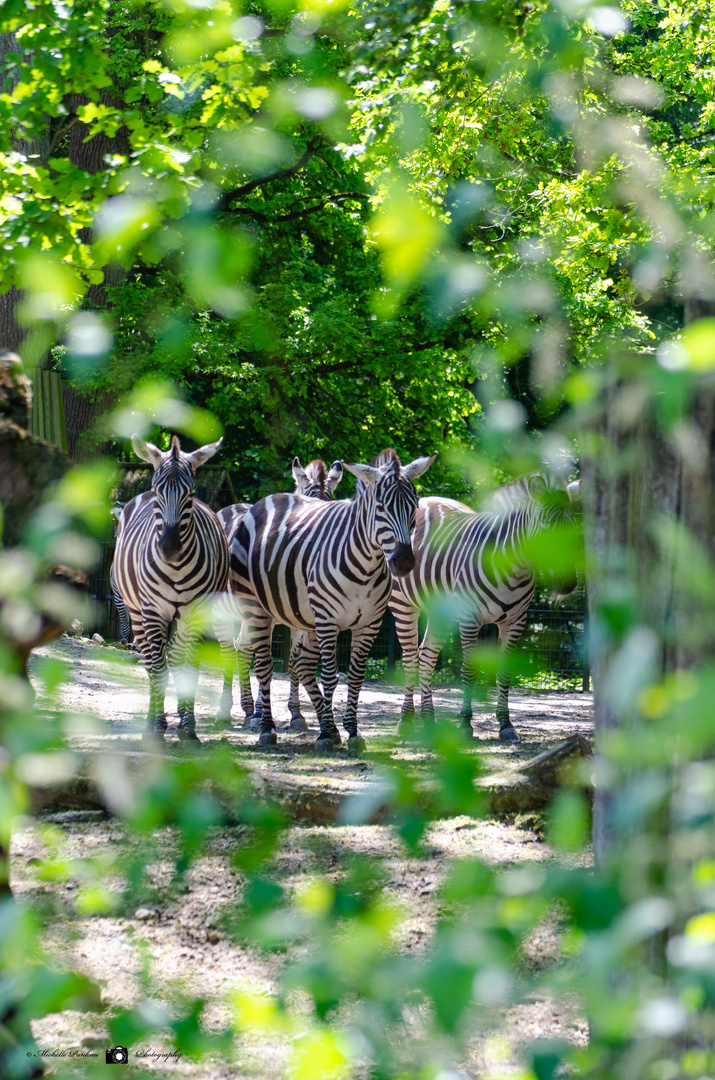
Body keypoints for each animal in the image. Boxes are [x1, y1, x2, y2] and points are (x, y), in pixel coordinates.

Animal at [113, 434, 230, 747]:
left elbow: (187, 668)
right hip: (136, 612)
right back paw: (153, 720)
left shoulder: (196, 612)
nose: (168, 548)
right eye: (157, 492)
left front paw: (188, 729)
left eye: (190, 494)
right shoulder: (153, 612)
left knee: (177, 657)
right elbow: (158, 668)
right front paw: (156, 727)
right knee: (151, 661)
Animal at [216, 451, 345, 730]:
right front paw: (264, 715)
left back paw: (248, 709)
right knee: (229, 650)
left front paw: (296, 714)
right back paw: (226, 711)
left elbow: (293, 663)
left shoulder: (300, 620)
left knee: (242, 649)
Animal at [230, 447, 436, 751]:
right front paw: (326, 733)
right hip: (255, 608)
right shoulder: (327, 620)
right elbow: (329, 675)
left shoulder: (369, 624)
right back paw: (265, 726)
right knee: (262, 664)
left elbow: (355, 676)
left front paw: (351, 731)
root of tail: (267, 499)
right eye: (381, 507)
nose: (404, 562)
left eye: (415, 506)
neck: (366, 566)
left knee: (299, 664)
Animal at [388, 475, 578, 743]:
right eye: (544, 529)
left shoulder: (515, 623)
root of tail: (424, 499)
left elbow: (505, 673)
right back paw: (405, 721)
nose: (568, 584)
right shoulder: (470, 620)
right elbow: (469, 671)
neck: (514, 566)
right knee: (410, 659)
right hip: (402, 604)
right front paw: (465, 725)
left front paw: (506, 725)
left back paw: (429, 719)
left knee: (427, 657)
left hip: (439, 610)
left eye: (573, 530)